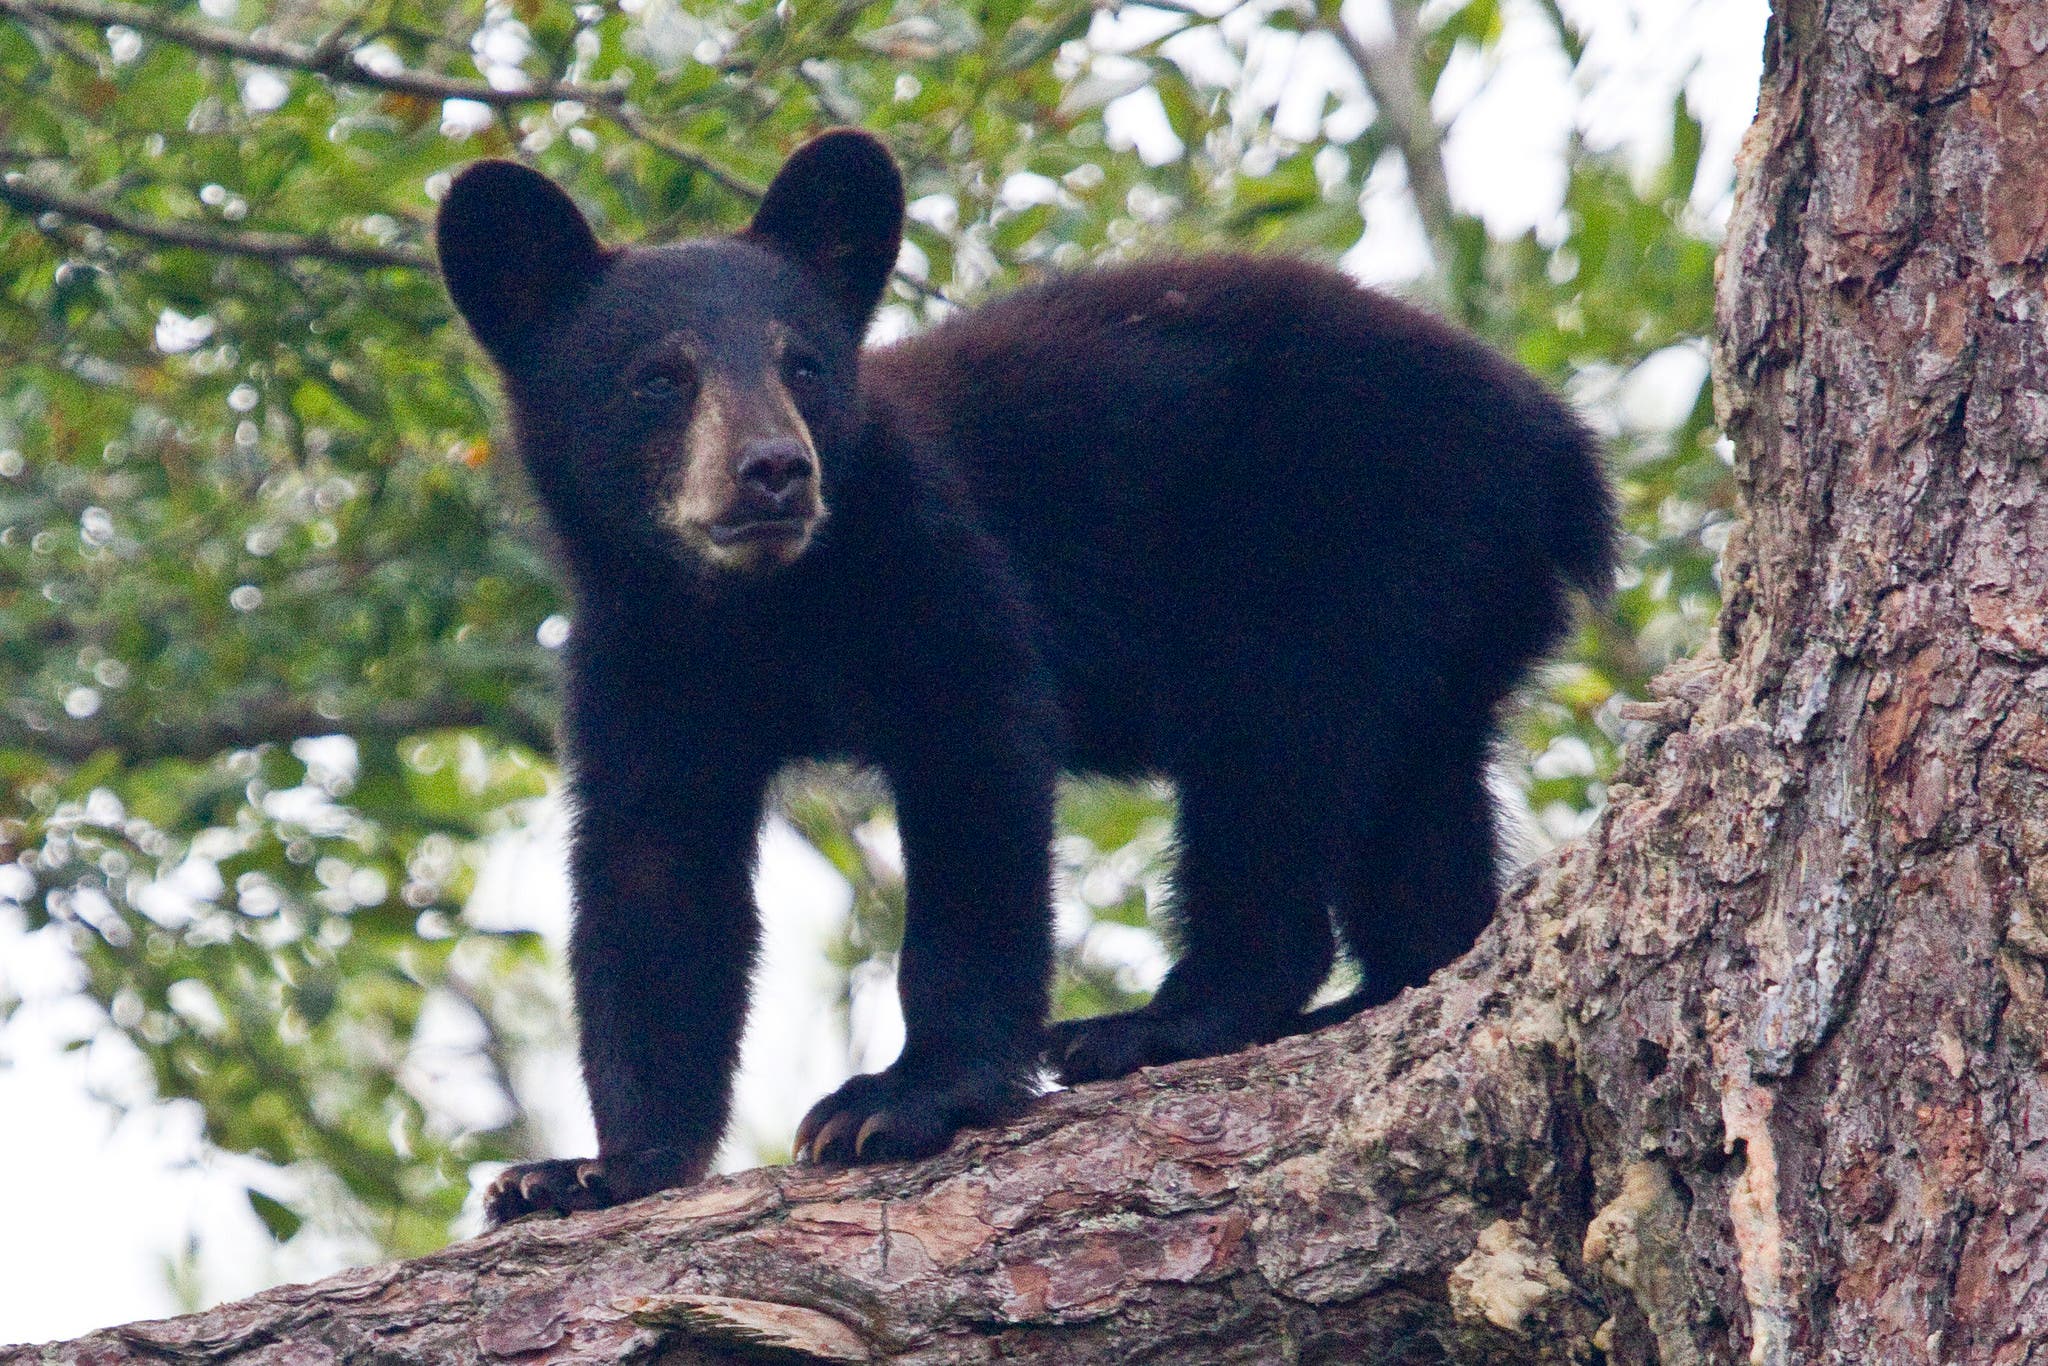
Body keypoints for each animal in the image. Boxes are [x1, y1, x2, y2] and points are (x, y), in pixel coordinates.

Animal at [434, 129, 1613, 1222]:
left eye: (803, 363)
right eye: (658, 379)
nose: (773, 470)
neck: (763, 609)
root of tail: (1555, 440)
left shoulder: (932, 562)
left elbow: (979, 782)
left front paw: (898, 1099)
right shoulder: (641, 658)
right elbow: (653, 881)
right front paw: (591, 1171)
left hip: (1351, 535)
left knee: (1271, 759)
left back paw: (1154, 1023)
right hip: (1447, 595)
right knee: (1415, 796)